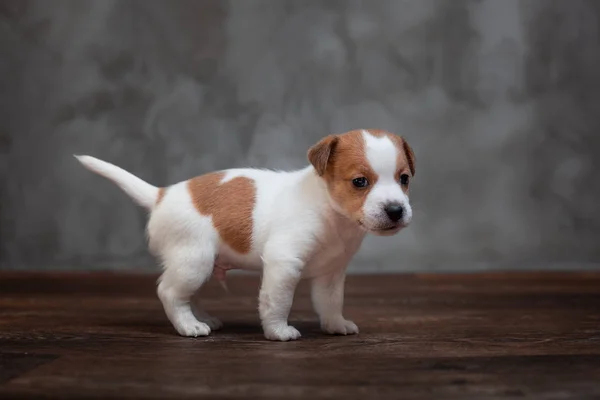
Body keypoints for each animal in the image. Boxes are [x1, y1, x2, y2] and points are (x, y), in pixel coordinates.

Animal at [75, 128, 414, 340]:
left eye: (405, 179)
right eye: (360, 182)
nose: (396, 210)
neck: (331, 214)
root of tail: (161, 195)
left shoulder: (330, 274)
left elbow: (330, 302)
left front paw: (335, 325)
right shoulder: (283, 263)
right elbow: (278, 301)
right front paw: (278, 332)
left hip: (199, 268)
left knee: (187, 295)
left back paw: (202, 319)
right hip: (193, 262)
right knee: (169, 293)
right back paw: (189, 326)